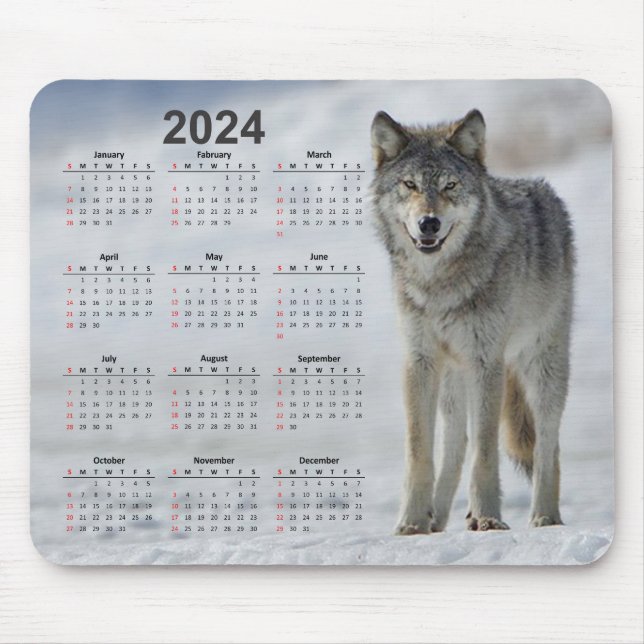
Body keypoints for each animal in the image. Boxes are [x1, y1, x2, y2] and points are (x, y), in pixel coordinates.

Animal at [371, 109, 574, 534]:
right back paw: (436, 520)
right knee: (455, 442)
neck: (439, 285)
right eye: (410, 185)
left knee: (548, 443)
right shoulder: (419, 361)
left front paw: (488, 518)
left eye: (450, 185)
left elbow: (485, 449)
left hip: (541, 367)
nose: (429, 223)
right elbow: (420, 452)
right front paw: (412, 523)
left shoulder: (486, 361)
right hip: (453, 377)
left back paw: (545, 517)